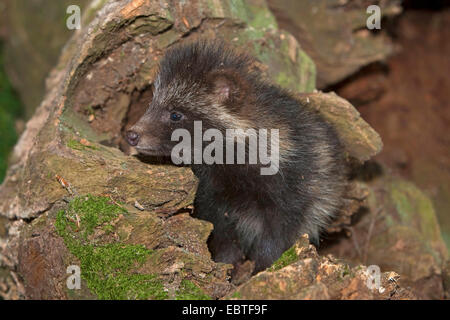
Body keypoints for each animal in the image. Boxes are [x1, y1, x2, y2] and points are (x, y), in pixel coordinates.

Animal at [128, 41, 346, 274]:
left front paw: (264, 266)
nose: (131, 135)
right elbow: (222, 234)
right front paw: (225, 263)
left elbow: (279, 235)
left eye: (175, 114)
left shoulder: (293, 188)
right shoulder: (213, 198)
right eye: (151, 104)